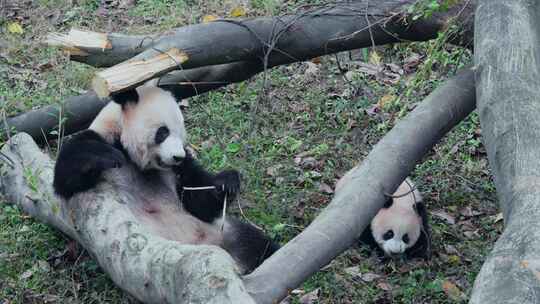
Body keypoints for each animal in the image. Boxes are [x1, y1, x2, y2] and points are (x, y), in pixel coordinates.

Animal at [53, 81, 278, 274]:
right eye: (163, 132)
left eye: (181, 133)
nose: (178, 156)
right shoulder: (102, 139)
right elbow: (66, 178)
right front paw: (104, 155)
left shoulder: (181, 171)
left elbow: (199, 202)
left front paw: (227, 183)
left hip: (222, 231)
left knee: (255, 243)